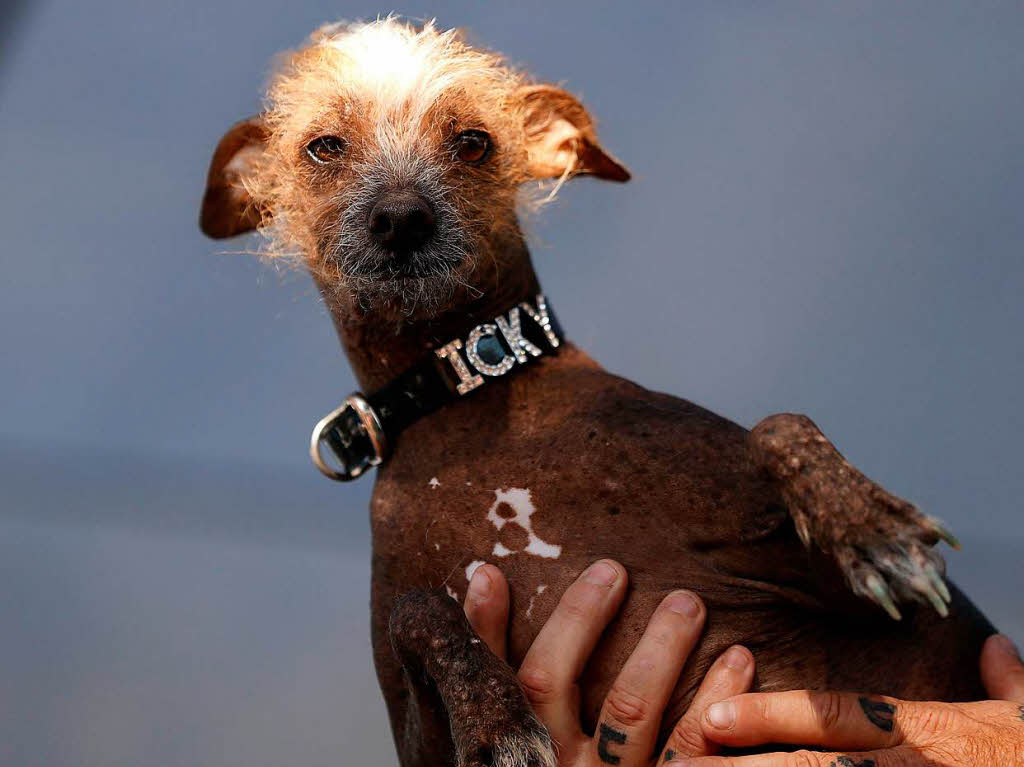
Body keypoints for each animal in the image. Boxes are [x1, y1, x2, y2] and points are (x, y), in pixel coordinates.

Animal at [197, 17, 991, 765]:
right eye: (324, 147)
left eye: (473, 142)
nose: (400, 217)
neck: (469, 391)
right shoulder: (419, 740)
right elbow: (418, 610)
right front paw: (499, 721)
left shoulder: (901, 620)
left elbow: (778, 425)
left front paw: (873, 529)